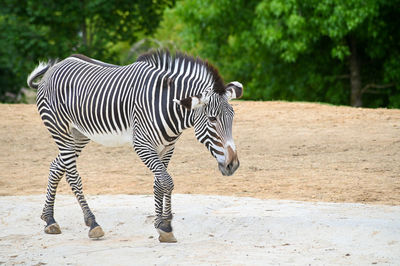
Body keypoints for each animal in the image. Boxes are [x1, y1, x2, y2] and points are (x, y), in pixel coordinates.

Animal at [28, 48, 244, 242]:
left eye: (233, 117)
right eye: (212, 119)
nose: (232, 165)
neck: (166, 105)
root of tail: (56, 66)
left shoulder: (167, 147)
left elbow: (159, 182)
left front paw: (159, 223)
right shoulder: (142, 145)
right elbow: (167, 181)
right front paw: (166, 226)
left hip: (79, 135)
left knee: (56, 166)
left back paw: (49, 219)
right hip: (60, 130)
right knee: (73, 176)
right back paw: (92, 223)